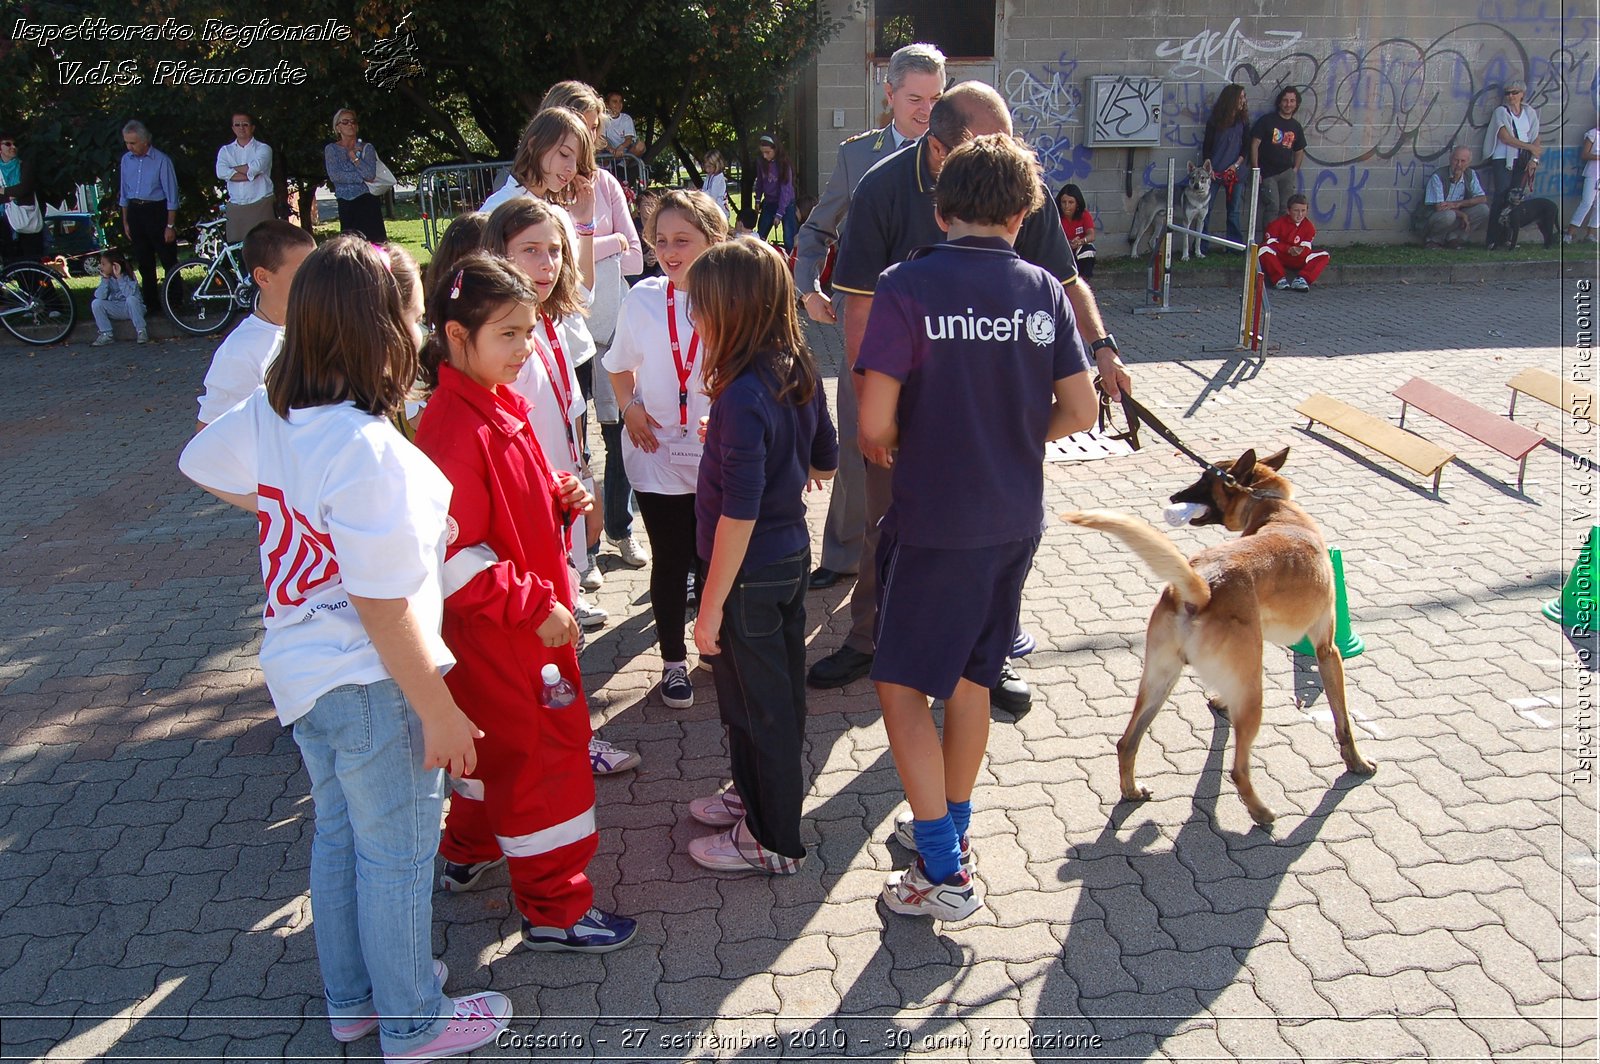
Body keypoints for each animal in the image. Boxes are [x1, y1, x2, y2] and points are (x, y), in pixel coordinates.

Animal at [1062, 444, 1376, 825]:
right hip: (1250, 695)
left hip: (1161, 679)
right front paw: (1356, 762)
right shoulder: (1327, 650)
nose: (1174, 497)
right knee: (1238, 771)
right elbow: (1343, 720)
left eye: (1203, 479)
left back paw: (1132, 790)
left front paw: (1222, 701)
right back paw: (1260, 812)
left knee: (1127, 742)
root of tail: (1203, 588)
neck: (1274, 508)